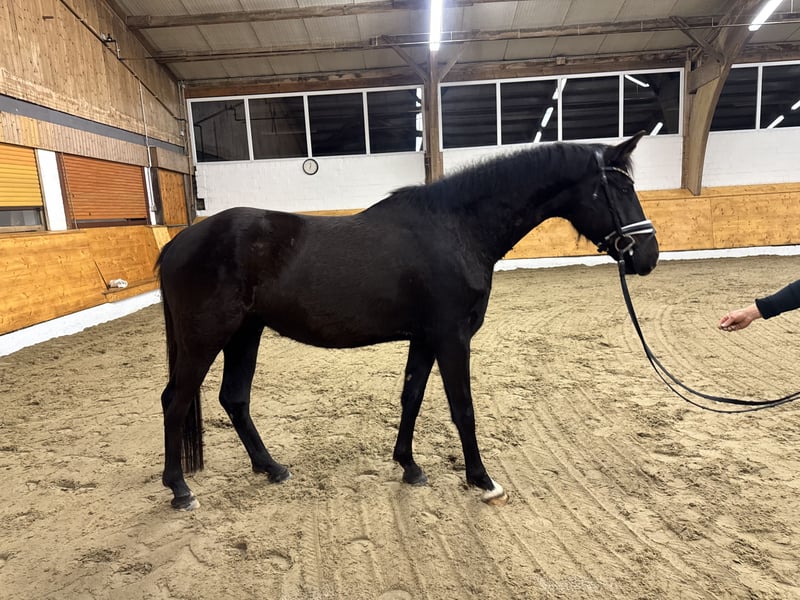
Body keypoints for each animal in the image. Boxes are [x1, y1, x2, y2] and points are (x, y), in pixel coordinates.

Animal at [156, 131, 659, 510]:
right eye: (620, 189)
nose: (648, 256)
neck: (456, 229)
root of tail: (178, 242)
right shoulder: (453, 337)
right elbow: (462, 408)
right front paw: (482, 480)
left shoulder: (425, 338)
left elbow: (411, 397)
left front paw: (410, 467)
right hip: (206, 337)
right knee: (175, 401)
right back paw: (180, 490)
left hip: (245, 333)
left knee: (234, 399)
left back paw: (271, 467)